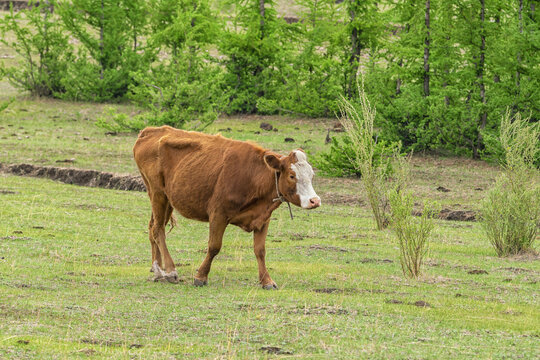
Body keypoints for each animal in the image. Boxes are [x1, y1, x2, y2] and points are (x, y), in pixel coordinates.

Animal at [134, 126, 320, 290]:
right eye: (292, 175)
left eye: (311, 174)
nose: (314, 201)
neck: (253, 176)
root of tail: (150, 131)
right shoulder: (218, 214)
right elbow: (214, 246)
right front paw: (201, 276)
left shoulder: (263, 219)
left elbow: (260, 250)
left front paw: (266, 280)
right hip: (158, 193)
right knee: (158, 229)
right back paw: (169, 270)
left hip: (167, 199)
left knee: (153, 227)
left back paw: (157, 268)